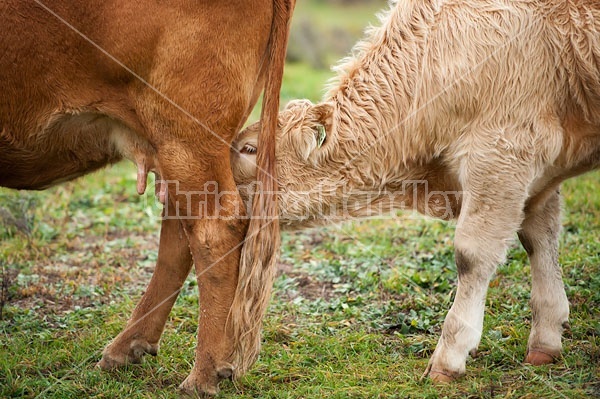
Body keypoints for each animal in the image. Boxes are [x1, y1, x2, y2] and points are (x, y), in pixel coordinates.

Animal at [233, 0, 600, 386]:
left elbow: (472, 255)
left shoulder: (502, 153)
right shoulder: (537, 179)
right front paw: (546, 341)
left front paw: (448, 358)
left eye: (249, 149)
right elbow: (540, 241)